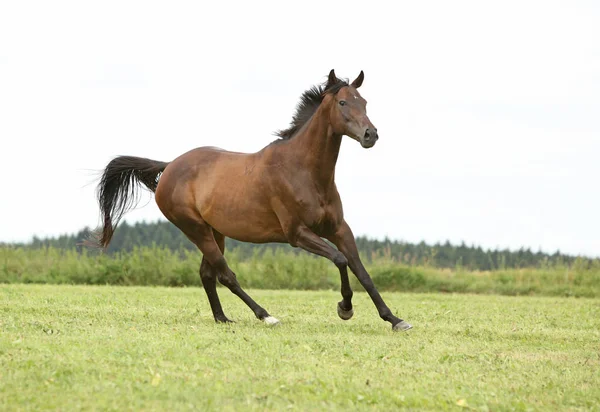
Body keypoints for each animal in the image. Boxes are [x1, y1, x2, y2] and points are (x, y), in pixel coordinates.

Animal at [91, 68, 412, 332]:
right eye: (343, 103)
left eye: (365, 102)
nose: (371, 135)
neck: (304, 171)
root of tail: (169, 166)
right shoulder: (297, 234)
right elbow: (340, 259)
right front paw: (345, 308)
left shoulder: (339, 229)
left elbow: (361, 270)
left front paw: (395, 319)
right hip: (195, 228)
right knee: (225, 274)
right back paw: (265, 315)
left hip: (215, 231)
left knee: (207, 274)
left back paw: (222, 318)